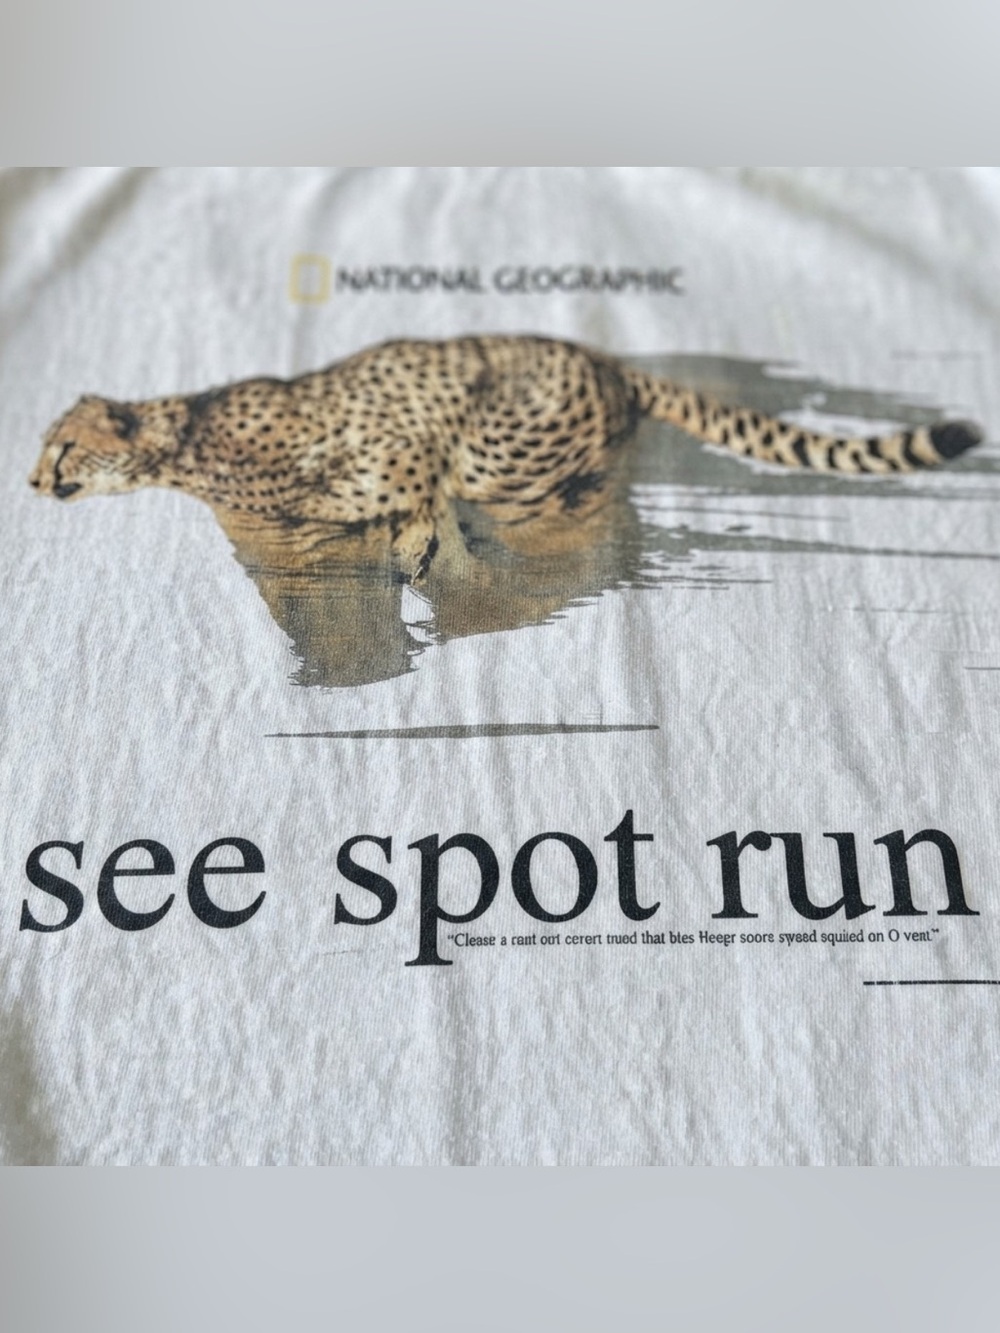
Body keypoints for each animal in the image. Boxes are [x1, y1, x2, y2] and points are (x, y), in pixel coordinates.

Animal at [29, 334, 982, 581]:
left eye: (64, 444)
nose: (34, 479)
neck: (185, 443)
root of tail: (603, 358)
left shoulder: (402, 436)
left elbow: (406, 482)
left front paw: (414, 541)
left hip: (501, 441)